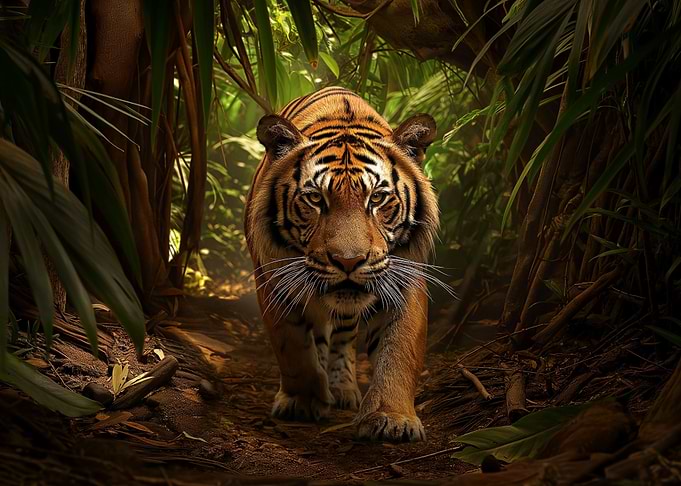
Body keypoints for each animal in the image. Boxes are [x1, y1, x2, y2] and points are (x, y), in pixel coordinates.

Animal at [245, 86, 439, 442]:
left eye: (377, 198)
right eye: (315, 199)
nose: (349, 261)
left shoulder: (404, 275)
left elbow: (399, 348)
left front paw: (392, 418)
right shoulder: (271, 278)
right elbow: (293, 346)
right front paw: (303, 402)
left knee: (342, 338)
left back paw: (343, 388)